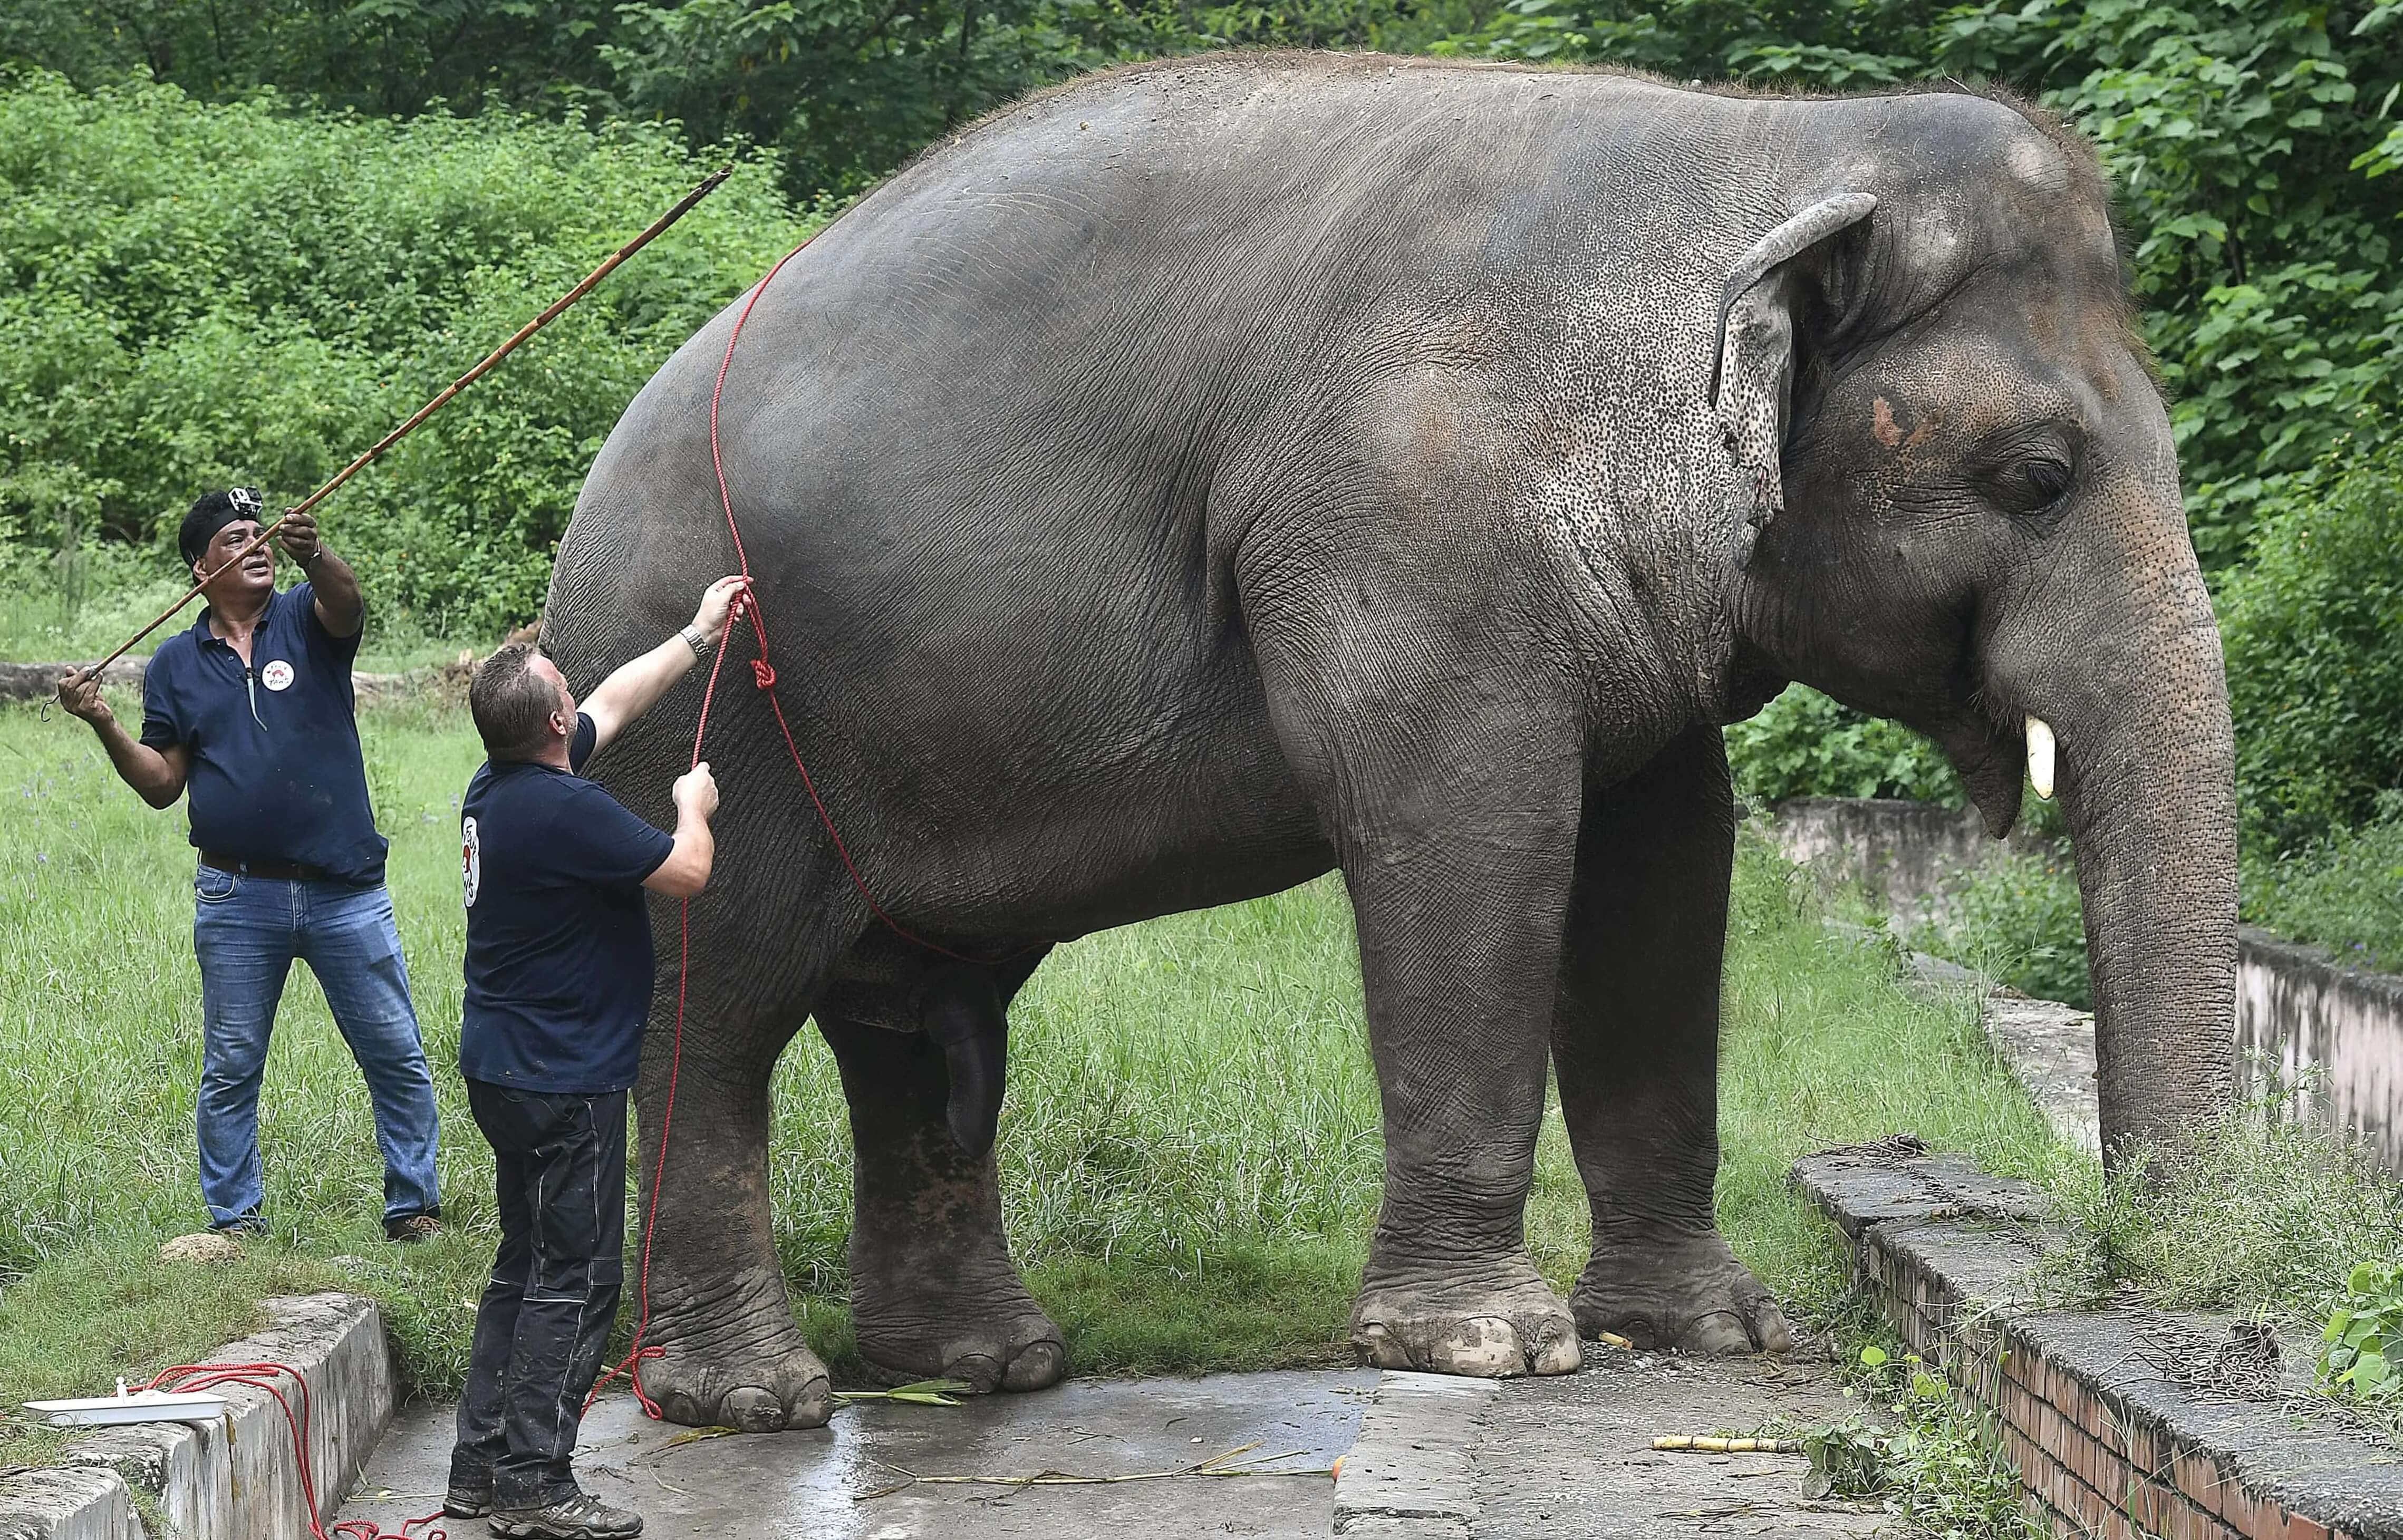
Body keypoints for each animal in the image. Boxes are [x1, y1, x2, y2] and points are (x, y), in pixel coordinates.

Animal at [543, 52, 2239, 1433]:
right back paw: (753, 1399)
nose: (2150, 1279)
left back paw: (982, 1368)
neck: (1762, 151)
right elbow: (1475, 836)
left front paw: (1713, 1333)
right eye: (2034, 476)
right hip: (698, 709)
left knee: (919, 1021)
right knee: (719, 1011)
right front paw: (1492, 1348)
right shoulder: (1409, 527)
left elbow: (1662, 875)